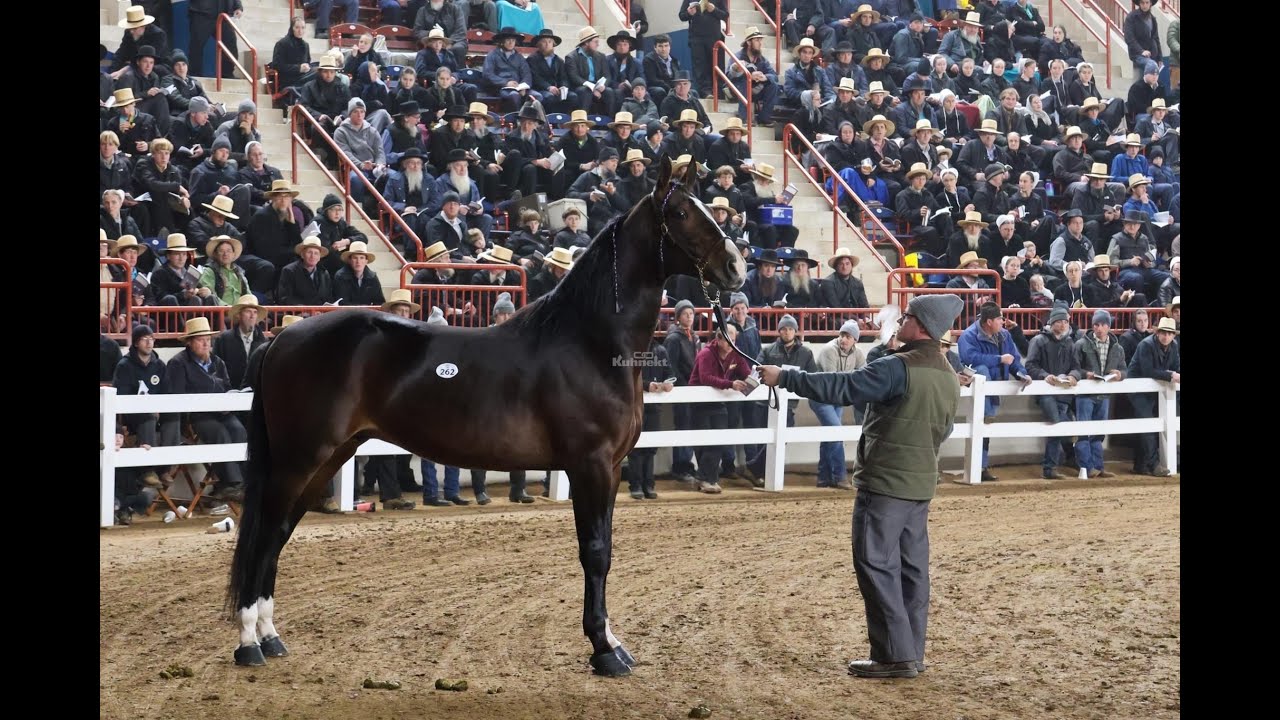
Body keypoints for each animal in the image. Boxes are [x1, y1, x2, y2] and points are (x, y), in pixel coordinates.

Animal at [226, 156, 747, 677]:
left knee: (278, 533)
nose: (736, 267)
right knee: (265, 533)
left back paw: (270, 637)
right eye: (681, 213)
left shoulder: (612, 468)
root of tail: (282, 337)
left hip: (327, 457)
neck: (588, 342)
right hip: (299, 459)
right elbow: (596, 552)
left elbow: (605, 548)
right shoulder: (591, 466)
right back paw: (249, 642)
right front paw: (604, 649)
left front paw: (611, 642)